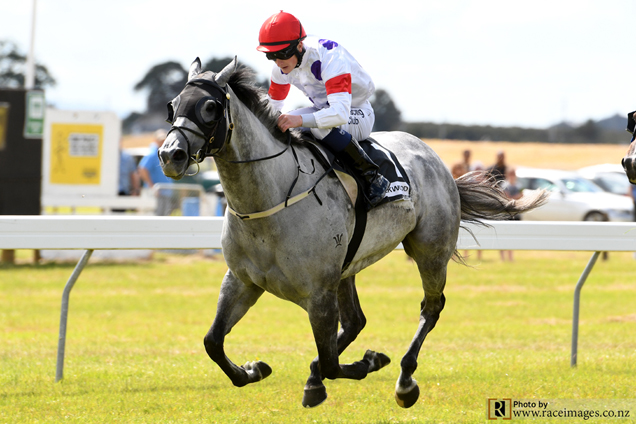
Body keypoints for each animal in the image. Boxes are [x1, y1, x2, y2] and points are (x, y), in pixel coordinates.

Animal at [158, 57, 548, 408]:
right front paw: (254, 369)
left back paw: (405, 380)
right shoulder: (243, 280)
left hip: (429, 250)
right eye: (172, 105)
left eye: (210, 107)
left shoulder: (318, 293)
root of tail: (433, 157)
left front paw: (367, 363)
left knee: (431, 308)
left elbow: (333, 363)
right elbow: (213, 342)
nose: (169, 155)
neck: (270, 202)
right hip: (347, 268)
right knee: (356, 321)